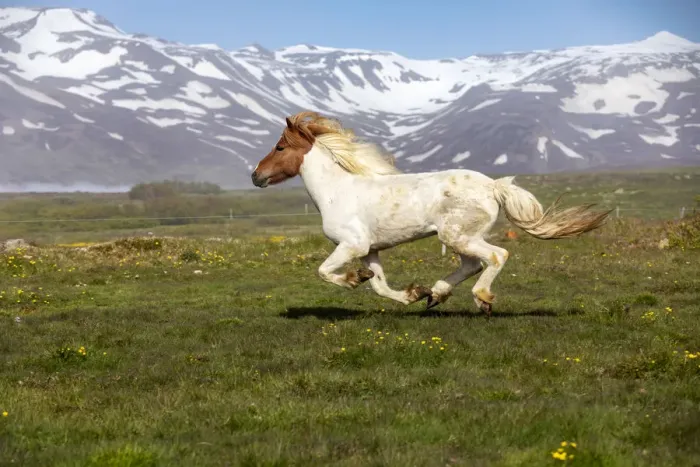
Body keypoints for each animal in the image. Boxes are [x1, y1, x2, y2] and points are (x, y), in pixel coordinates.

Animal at [251, 111, 611, 315]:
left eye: (280, 147)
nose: (256, 176)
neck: (336, 191)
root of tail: (493, 186)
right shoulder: (370, 250)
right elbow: (379, 286)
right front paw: (413, 294)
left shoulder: (351, 245)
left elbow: (324, 272)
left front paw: (353, 279)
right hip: (461, 237)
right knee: (472, 264)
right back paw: (435, 294)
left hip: (458, 236)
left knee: (495, 256)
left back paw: (482, 298)